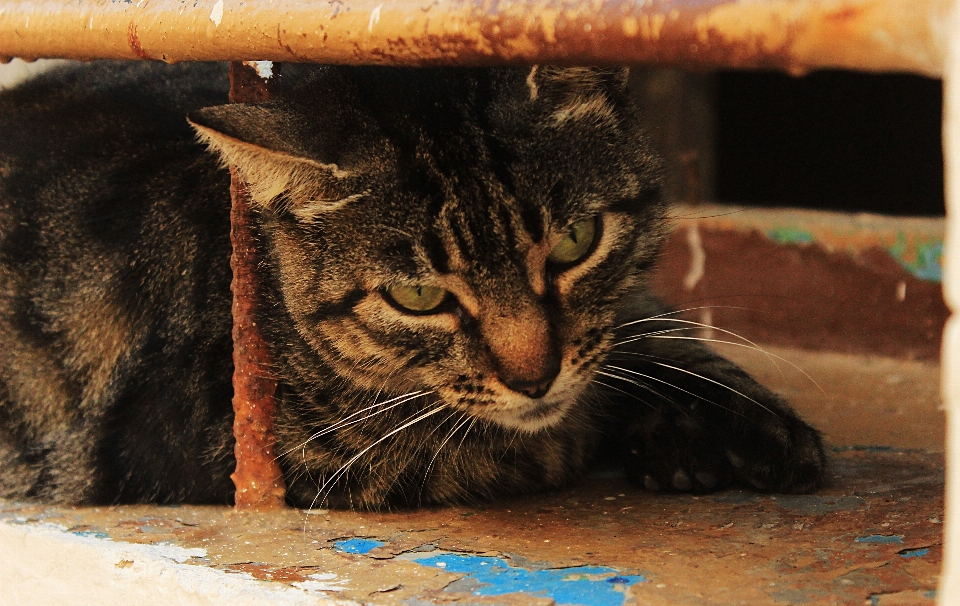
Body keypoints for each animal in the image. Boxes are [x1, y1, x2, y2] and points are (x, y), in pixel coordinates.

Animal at [0, 61, 824, 510]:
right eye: (417, 298)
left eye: (575, 242)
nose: (535, 378)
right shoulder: (266, 454)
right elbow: (554, 433)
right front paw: (662, 431)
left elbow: (652, 332)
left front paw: (740, 419)